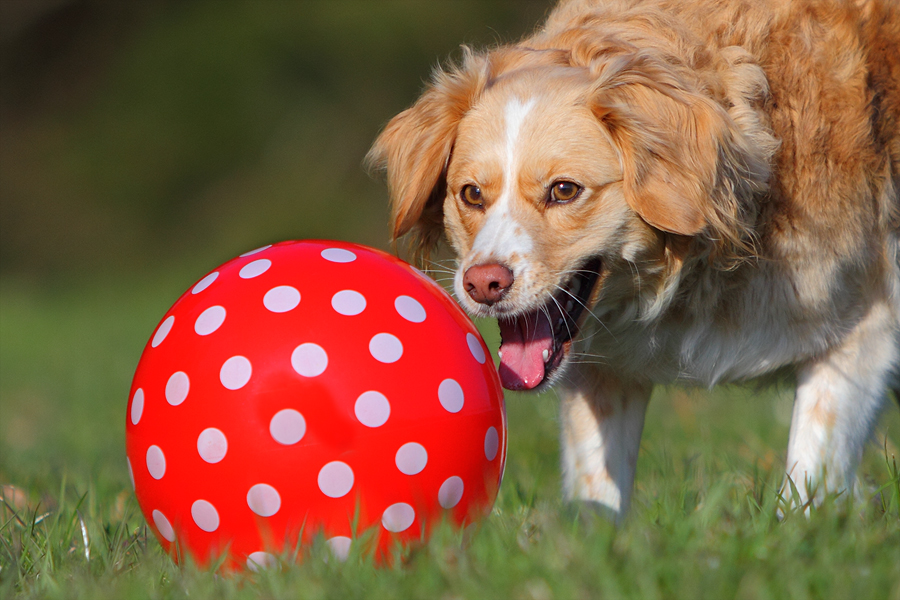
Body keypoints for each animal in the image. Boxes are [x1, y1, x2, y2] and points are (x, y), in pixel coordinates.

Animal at [366, 0, 900, 520]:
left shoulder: (863, 334)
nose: (483, 283)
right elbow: (596, 495)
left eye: (564, 190)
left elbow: (808, 483)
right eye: (472, 194)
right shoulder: (604, 371)